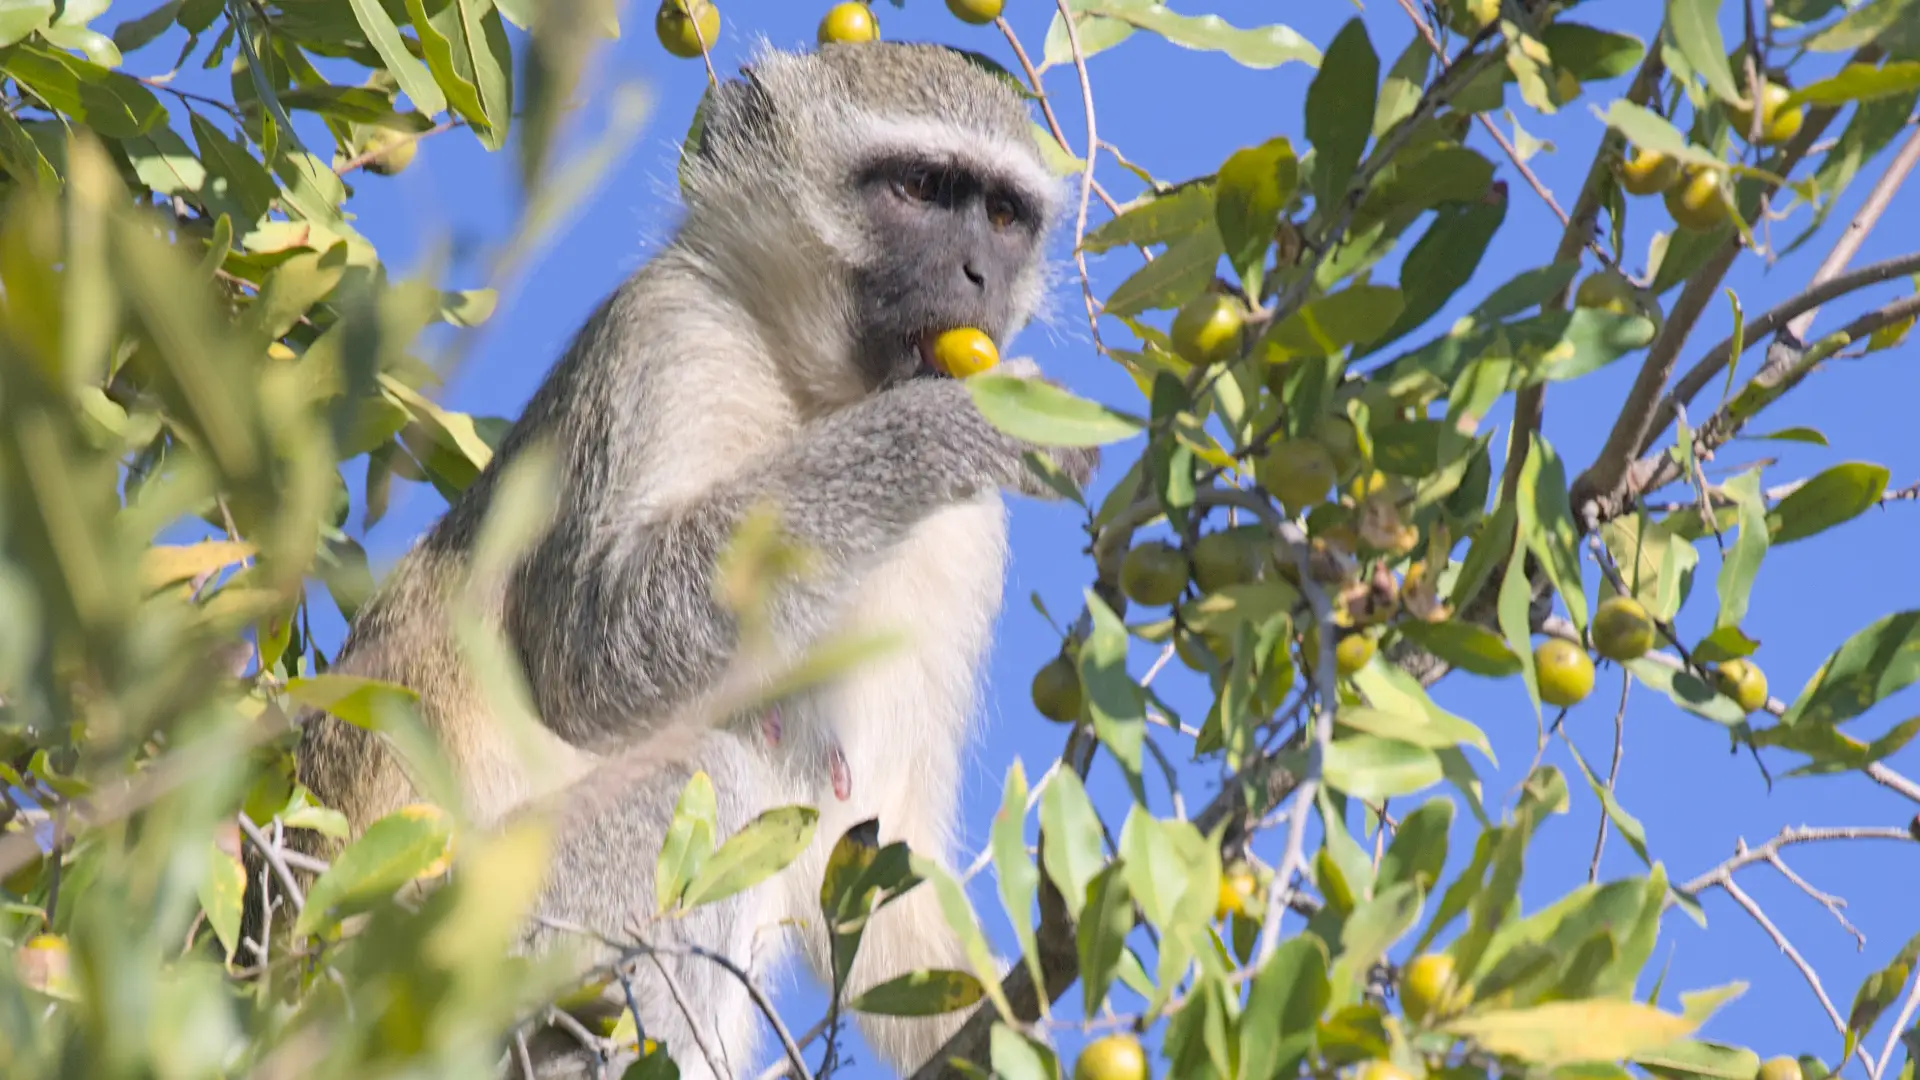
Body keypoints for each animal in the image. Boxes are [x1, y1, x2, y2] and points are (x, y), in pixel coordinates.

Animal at [253, 39, 1091, 1078]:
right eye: (922, 188)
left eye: (1006, 217)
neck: (815, 394)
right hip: (442, 942)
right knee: (706, 775)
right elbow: (594, 652)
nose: (979, 273)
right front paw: (939, 428)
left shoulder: (969, 539)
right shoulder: (671, 334)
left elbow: (887, 852)